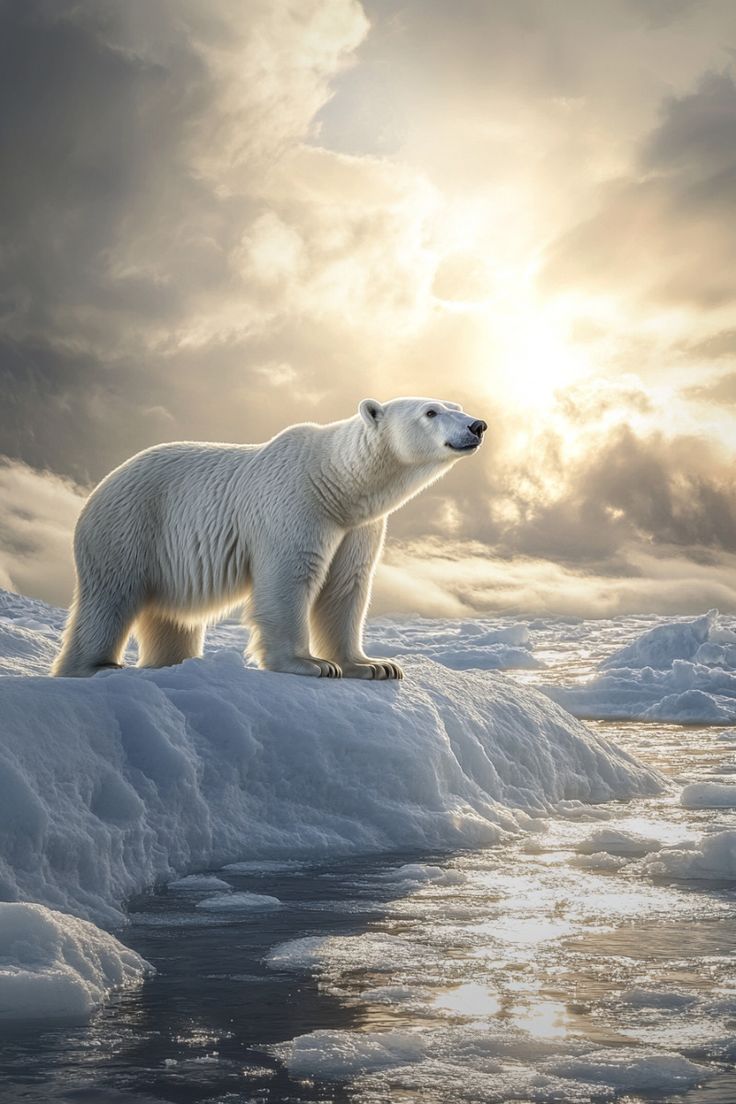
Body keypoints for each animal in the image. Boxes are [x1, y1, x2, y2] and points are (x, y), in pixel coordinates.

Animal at [52, 397, 487, 680]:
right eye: (431, 412)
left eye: (458, 404)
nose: (477, 425)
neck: (335, 484)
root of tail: (99, 486)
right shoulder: (294, 506)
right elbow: (288, 579)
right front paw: (310, 664)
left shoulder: (358, 528)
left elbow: (346, 588)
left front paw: (375, 665)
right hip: (131, 526)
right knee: (111, 596)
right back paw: (95, 665)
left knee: (171, 617)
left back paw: (170, 663)